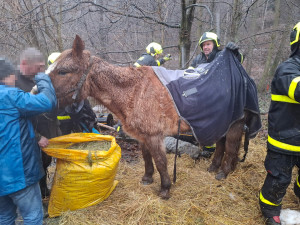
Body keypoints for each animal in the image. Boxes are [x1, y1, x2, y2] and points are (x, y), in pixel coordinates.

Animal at [49, 34, 255, 199]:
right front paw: (147, 178)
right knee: (221, 145)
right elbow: (147, 157)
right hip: (222, 121)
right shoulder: (143, 136)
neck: (135, 91)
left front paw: (165, 189)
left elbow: (161, 162)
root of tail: (243, 75)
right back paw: (214, 167)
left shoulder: (155, 136)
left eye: (63, 71)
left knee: (231, 147)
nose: (40, 92)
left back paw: (224, 172)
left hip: (235, 123)